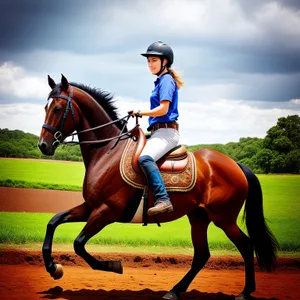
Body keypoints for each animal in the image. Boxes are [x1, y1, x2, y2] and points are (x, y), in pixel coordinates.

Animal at [38, 74, 278, 300]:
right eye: (45, 107)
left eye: (58, 108)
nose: (43, 145)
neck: (107, 151)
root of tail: (236, 164)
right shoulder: (91, 207)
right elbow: (53, 221)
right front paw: (53, 267)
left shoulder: (106, 211)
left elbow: (78, 243)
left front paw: (112, 265)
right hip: (199, 217)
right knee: (202, 255)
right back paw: (174, 291)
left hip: (223, 219)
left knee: (246, 246)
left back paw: (245, 292)